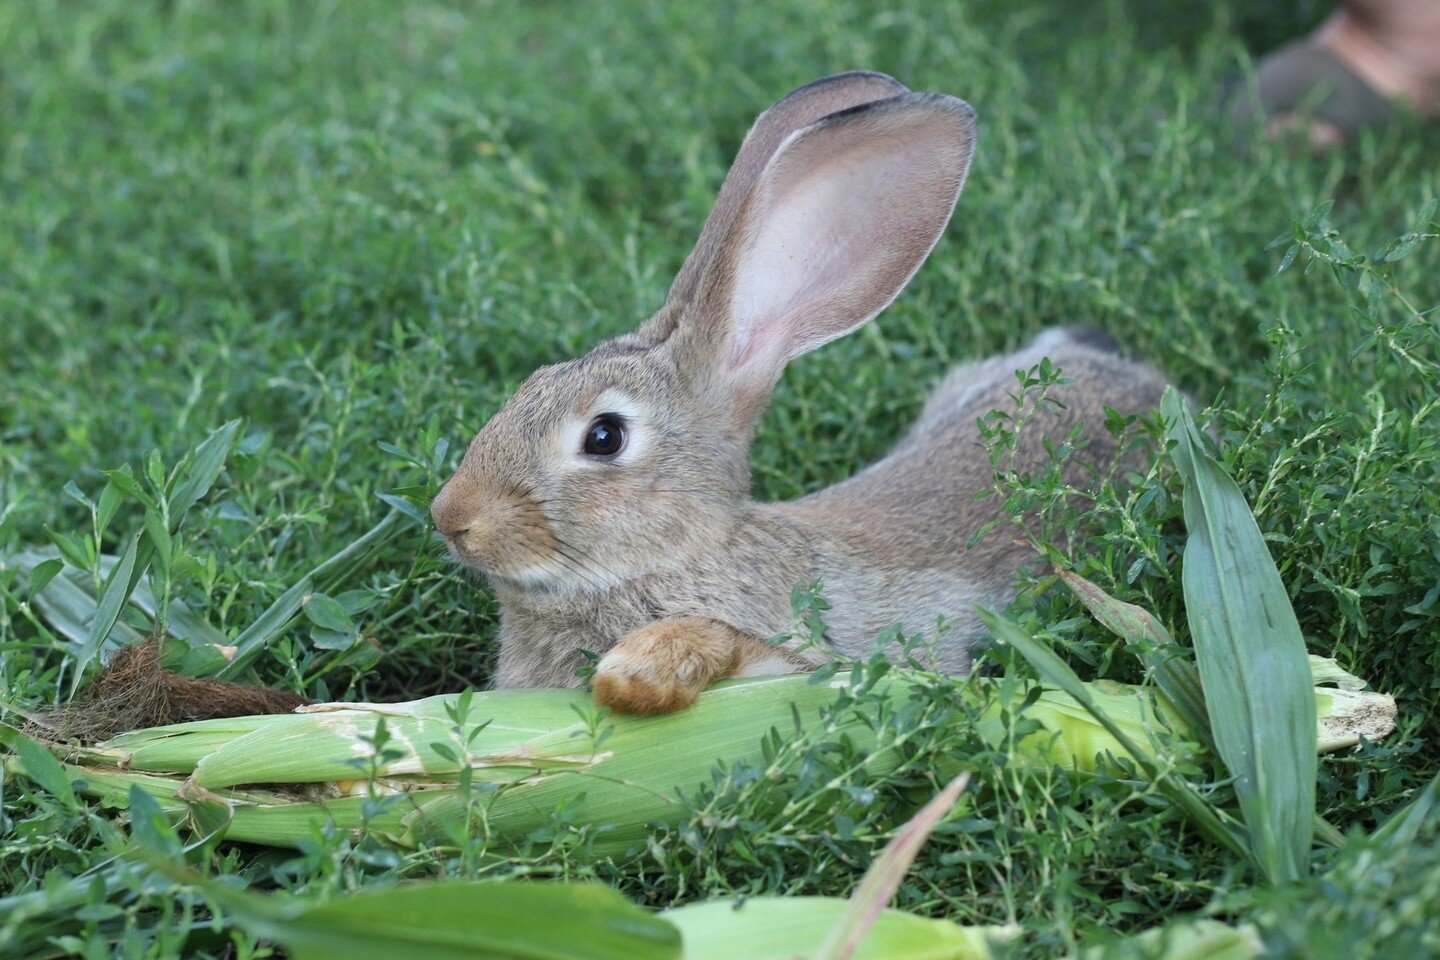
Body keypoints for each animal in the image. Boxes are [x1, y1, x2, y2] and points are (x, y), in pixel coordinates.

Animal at [426, 71, 1169, 713]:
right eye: (529, 384)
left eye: (604, 436)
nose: (451, 517)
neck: (682, 554)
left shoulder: (808, 655)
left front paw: (639, 671)